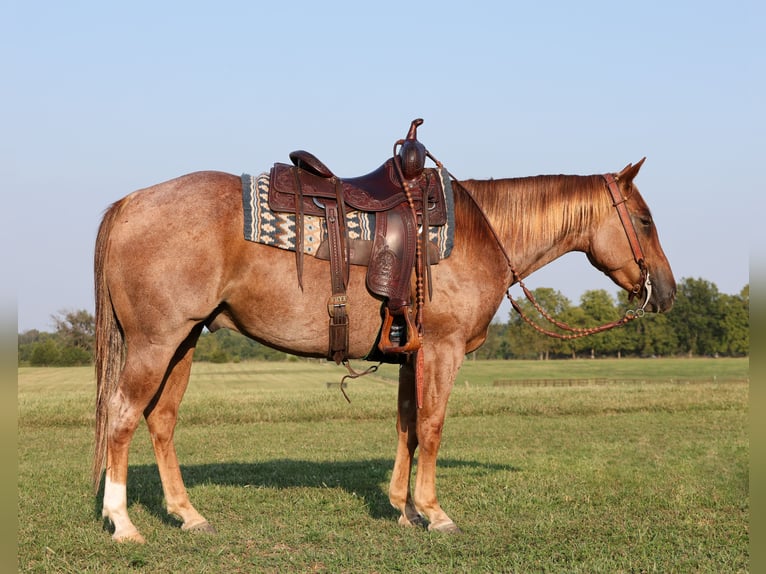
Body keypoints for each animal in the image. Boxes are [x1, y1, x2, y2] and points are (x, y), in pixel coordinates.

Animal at [93, 154, 676, 544]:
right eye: (644, 221)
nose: (666, 292)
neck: (480, 233)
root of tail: (131, 202)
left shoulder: (410, 354)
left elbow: (407, 427)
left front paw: (404, 509)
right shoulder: (442, 349)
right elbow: (432, 426)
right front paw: (435, 513)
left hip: (184, 341)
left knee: (161, 420)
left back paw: (187, 514)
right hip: (155, 343)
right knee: (122, 416)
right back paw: (123, 523)